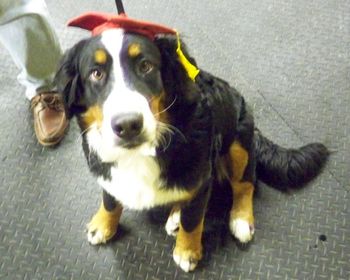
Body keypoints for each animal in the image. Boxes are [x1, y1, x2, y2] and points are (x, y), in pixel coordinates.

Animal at [54, 27, 328, 272]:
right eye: (96, 73)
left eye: (145, 66)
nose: (128, 125)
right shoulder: (107, 171)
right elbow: (110, 200)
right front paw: (103, 225)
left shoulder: (202, 175)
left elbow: (193, 221)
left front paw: (187, 251)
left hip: (238, 142)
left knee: (245, 183)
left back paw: (240, 219)